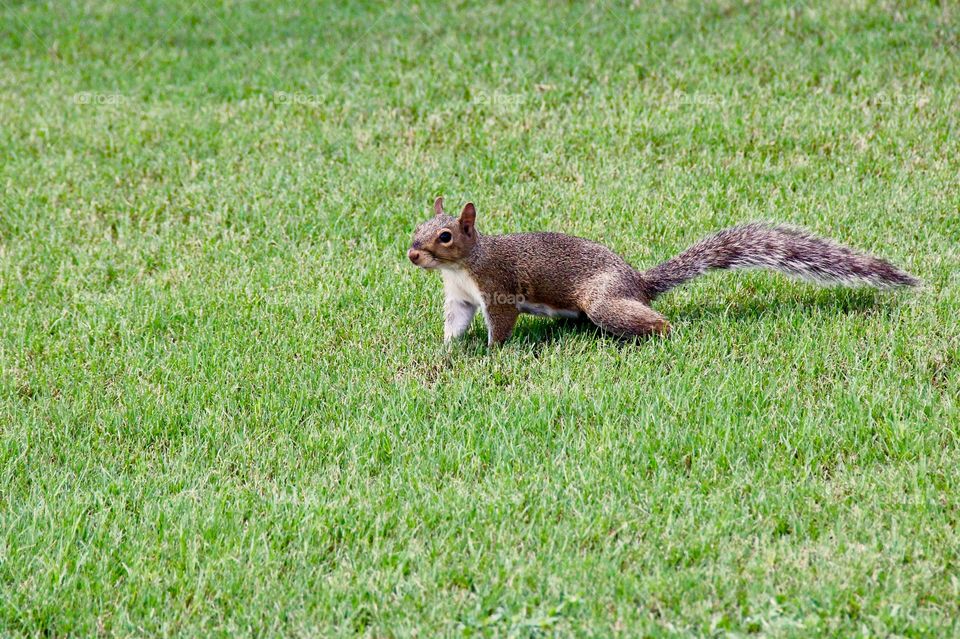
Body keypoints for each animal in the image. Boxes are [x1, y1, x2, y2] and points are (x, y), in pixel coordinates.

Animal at [408, 197, 919, 346]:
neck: (463, 267)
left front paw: (492, 353)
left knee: (651, 320)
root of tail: (639, 283)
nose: (412, 254)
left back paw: (663, 332)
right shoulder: (460, 297)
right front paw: (448, 349)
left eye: (445, 236)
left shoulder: (496, 288)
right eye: (416, 227)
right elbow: (455, 324)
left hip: (605, 300)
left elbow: (501, 325)